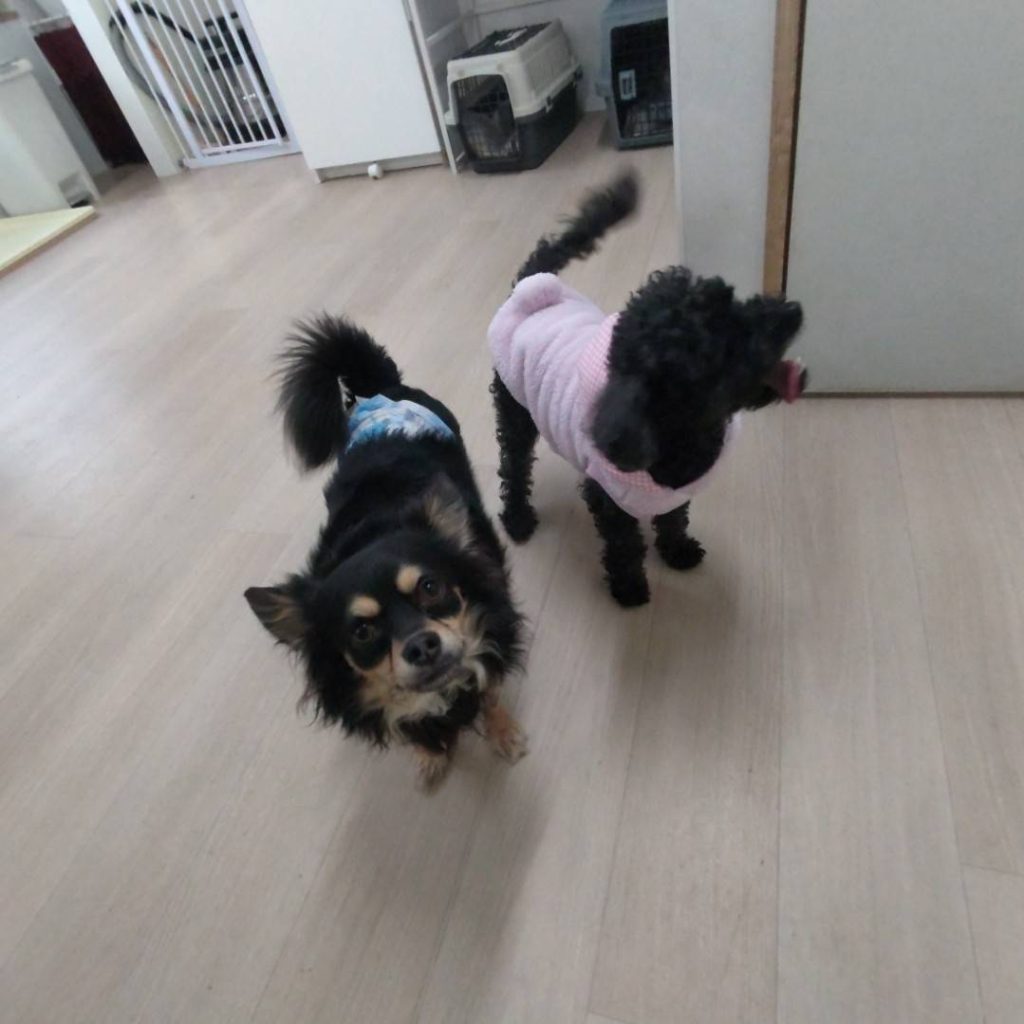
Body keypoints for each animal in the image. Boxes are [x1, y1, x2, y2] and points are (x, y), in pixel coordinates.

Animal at [245, 317, 526, 790]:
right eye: (361, 632)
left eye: (431, 587)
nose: (422, 647)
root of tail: (381, 388)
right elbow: (415, 726)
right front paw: (431, 755)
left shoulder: (491, 628)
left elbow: (490, 690)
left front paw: (504, 733)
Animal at [488, 171, 806, 607]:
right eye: (723, 345)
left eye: (735, 299)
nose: (793, 311)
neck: (683, 435)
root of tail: (529, 286)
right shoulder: (610, 501)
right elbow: (625, 545)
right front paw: (629, 588)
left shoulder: (674, 494)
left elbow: (673, 521)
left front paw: (677, 552)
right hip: (514, 408)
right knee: (514, 465)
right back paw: (518, 519)